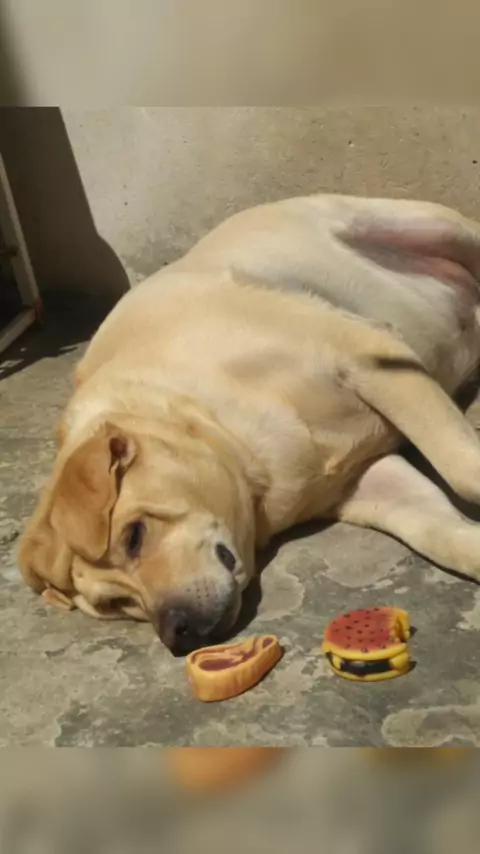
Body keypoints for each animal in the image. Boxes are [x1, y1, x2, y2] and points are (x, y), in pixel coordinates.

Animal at [18, 193, 480, 655]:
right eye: (114, 603)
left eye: (133, 536)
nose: (177, 632)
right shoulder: (371, 481)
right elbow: (441, 534)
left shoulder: (369, 356)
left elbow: (463, 472)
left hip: (429, 226)